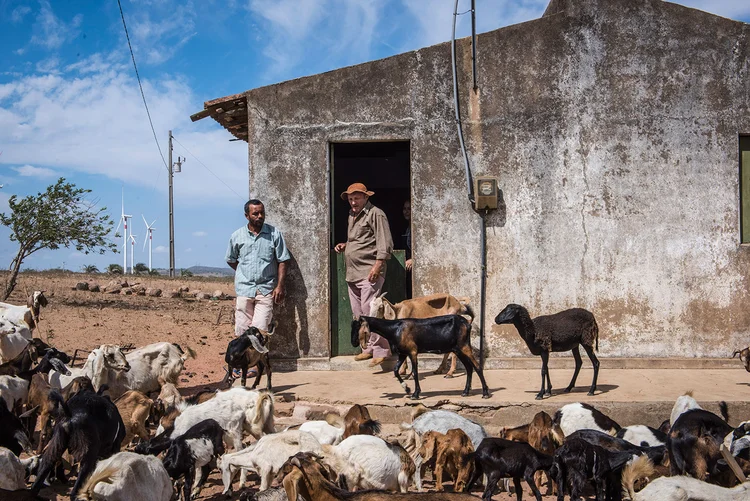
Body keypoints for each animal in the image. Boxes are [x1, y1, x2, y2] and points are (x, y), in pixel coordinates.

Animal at [352, 312, 490, 398]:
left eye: (358, 326)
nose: (353, 342)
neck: (394, 329)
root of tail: (467, 323)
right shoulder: (402, 353)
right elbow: (396, 370)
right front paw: (406, 389)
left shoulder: (412, 352)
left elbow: (415, 372)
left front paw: (415, 394)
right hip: (457, 349)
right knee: (469, 368)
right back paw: (466, 392)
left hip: (464, 346)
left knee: (477, 366)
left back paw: (485, 393)